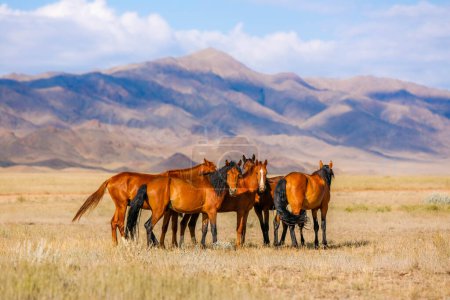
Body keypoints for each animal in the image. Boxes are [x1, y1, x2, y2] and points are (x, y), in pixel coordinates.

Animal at [71, 158, 216, 245]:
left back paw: (115, 244)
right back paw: (127, 243)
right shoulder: (169, 211)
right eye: (213, 169)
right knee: (119, 223)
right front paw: (168, 245)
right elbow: (169, 227)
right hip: (122, 205)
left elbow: (169, 227)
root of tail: (110, 179)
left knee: (113, 222)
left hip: (119, 206)